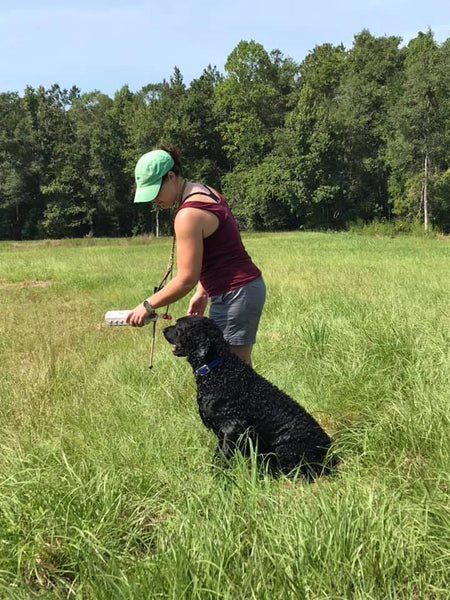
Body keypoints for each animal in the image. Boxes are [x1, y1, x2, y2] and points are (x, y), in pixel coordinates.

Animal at [164, 314, 338, 478]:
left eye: (179, 326)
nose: (164, 330)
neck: (218, 370)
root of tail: (333, 455)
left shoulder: (232, 426)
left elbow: (224, 456)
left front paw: (219, 477)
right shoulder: (221, 431)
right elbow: (218, 454)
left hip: (287, 447)